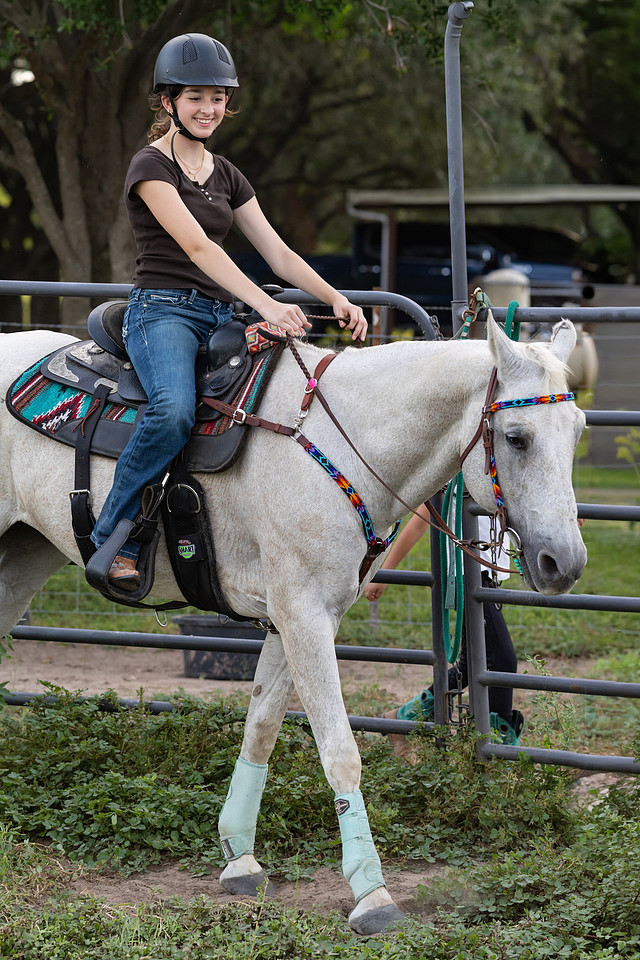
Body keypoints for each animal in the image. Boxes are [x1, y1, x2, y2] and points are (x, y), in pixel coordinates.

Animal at [0, 312, 586, 934]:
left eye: (577, 431)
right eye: (517, 437)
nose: (565, 562)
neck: (341, 440)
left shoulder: (295, 618)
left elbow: (261, 727)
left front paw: (239, 859)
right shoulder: (303, 615)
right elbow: (340, 751)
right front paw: (373, 894)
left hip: (24, 555)